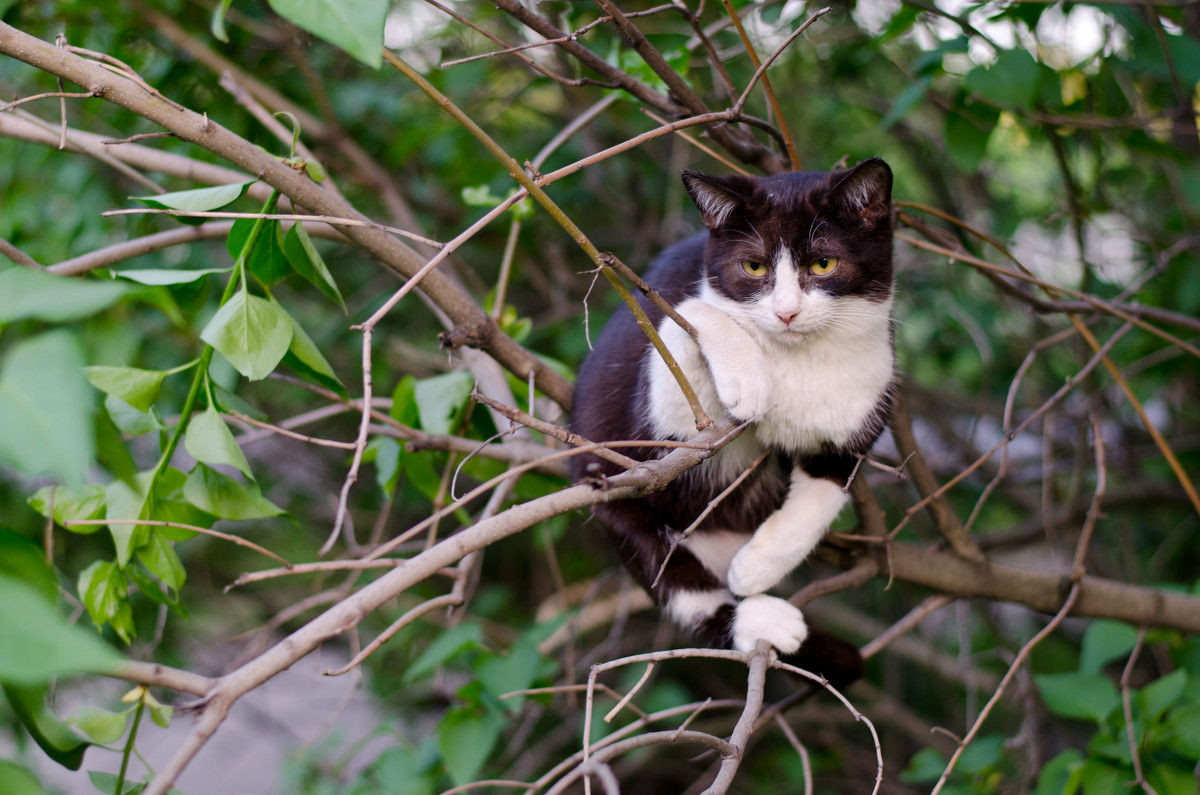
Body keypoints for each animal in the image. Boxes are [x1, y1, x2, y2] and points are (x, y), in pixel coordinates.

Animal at [566, 157, 897, 686]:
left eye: (823, 264)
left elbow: (824, 488)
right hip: (615, 499)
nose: (786, 312)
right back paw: (762, 620)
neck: (796, 357)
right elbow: (688, 313)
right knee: (674, 579)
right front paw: (747, 380)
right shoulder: (660, 426)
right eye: (753, 267)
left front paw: (758, 566)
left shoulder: (866, 398)